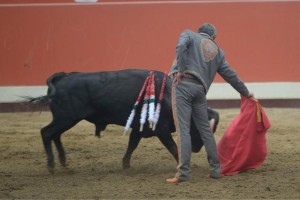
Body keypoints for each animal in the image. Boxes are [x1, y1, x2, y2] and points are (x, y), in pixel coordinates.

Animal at [27, 69, 218, 173]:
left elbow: (132, 144)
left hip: (64, 119)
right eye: (198, 126)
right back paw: (51, 165)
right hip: (66, 117)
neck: (167, 95)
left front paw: (125, 164)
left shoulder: (140, 127)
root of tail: (63, 77)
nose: (196, 148)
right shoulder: (161, 129)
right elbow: (173, 147)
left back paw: (63, 162)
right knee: (47, 133)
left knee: (55, 135)